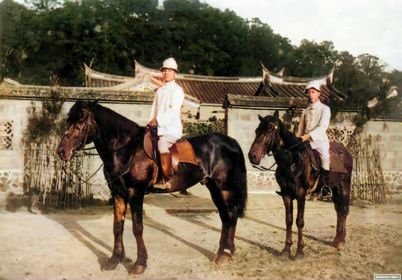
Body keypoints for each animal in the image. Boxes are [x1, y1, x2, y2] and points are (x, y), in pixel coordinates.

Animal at [55, 100, 247, 274]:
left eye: (80, 121)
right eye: (69, 121)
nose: (62, 151)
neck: (126, 150)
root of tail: (231, 141)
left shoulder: (135, 194)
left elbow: (137, 228)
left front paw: (139, 264)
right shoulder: (118, 194)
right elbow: (117, 227)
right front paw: (114, 260)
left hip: (224, 188)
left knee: (230, 216)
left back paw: (225, 253)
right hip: (214, 188)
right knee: (226, 217)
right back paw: (224, 253)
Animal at [248, 111, 352, 258]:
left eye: (269, 130)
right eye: (257, 131)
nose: (252, 156)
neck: (292, 161)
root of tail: (345, 151)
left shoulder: (301, 194)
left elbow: (299, 221)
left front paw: (299, 251)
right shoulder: (286, 194)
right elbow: (289, 220)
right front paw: (286, 250)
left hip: (344, 186)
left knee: (344, 210)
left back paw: (341, 241)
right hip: (335, 189)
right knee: (339, 210)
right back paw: (337, 239)